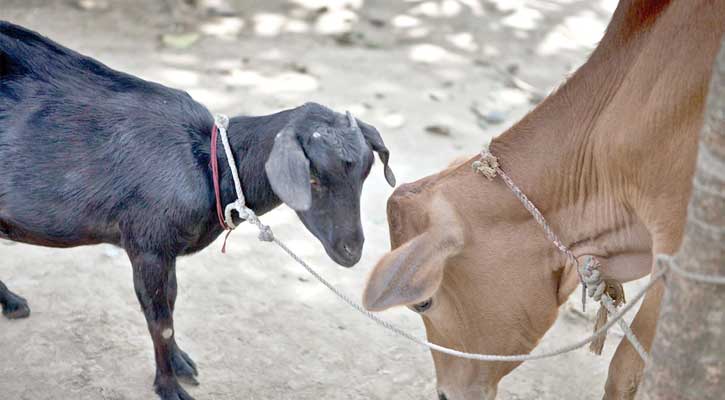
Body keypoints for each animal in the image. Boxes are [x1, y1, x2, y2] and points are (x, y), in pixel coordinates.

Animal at [0, 22, 394, 400]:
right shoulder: (148, 245)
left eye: (365, 172)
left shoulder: (167, 249)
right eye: (311, 177)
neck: (211, 162)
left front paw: (180, 363)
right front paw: (169, 387)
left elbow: (170, 305)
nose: (351, 250)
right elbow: (160, 320)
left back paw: (11, 302)